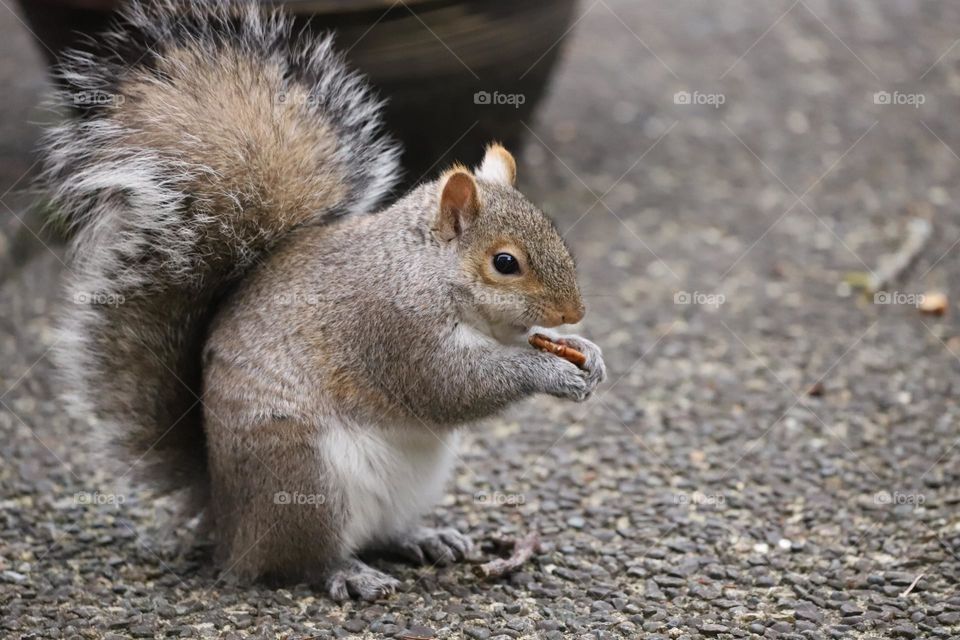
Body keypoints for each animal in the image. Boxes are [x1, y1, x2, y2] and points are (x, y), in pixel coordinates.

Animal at [43, 0, 608, 600]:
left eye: (552, 228)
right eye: (505, 263)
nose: (573, 312)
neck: (426, 271)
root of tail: (229, 524)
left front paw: (584, 351)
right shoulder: (391, 327)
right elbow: (449, 386)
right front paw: (549, 372)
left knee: (381, 531)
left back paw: (424, 537)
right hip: (303, 479)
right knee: (301, 561)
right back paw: (348, 573)